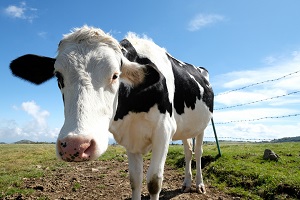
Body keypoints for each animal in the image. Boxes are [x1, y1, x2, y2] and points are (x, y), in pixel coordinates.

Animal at [9, 25, 213, 199]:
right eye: (58, 77)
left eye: (116, 75)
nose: (75, 146)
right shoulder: (131, 137)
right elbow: (135, 181)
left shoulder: (163, 131)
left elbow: (154, 182)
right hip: (185, 128)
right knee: (188, 151)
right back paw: (186, 183)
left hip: (202, 126)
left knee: (198, 151)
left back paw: (199, 185)